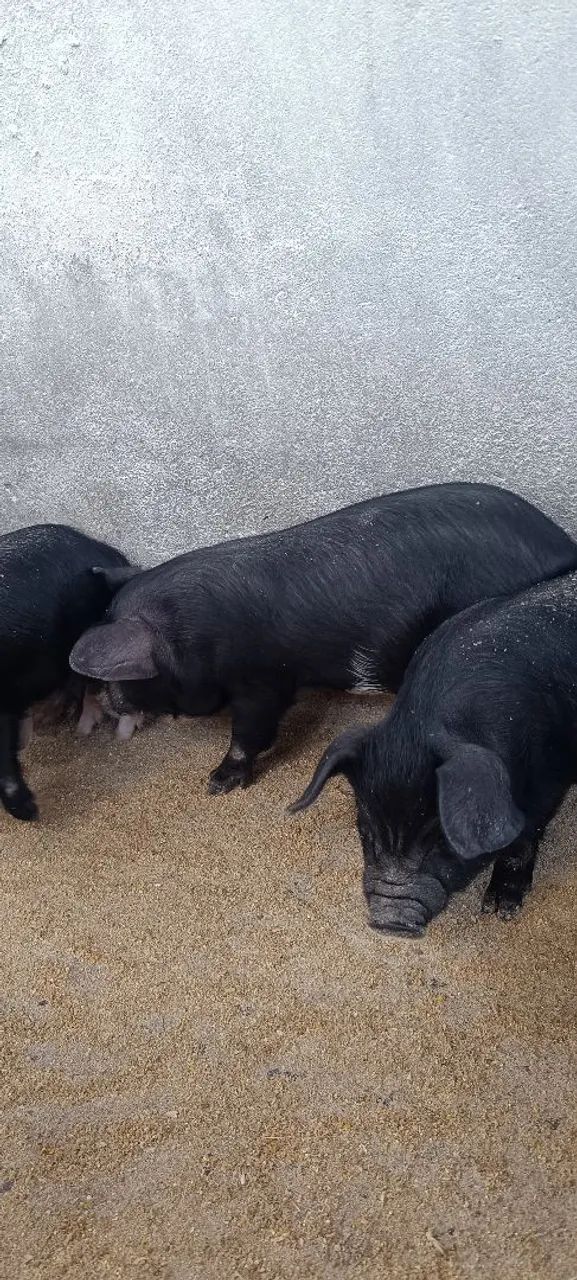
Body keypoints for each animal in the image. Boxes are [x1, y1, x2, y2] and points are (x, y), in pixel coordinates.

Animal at [68, 482, 577, 796]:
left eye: (122, 677)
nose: (106, 701)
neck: (192, 639)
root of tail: (563, 546)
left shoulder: (262, 681)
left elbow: (251, 732)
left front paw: (215, 784)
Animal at [290, 568, 577, 935]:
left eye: (440, 839)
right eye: (366, 830)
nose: (389, 923)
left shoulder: (549, 777)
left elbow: (523, 838)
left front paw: (499, 910)